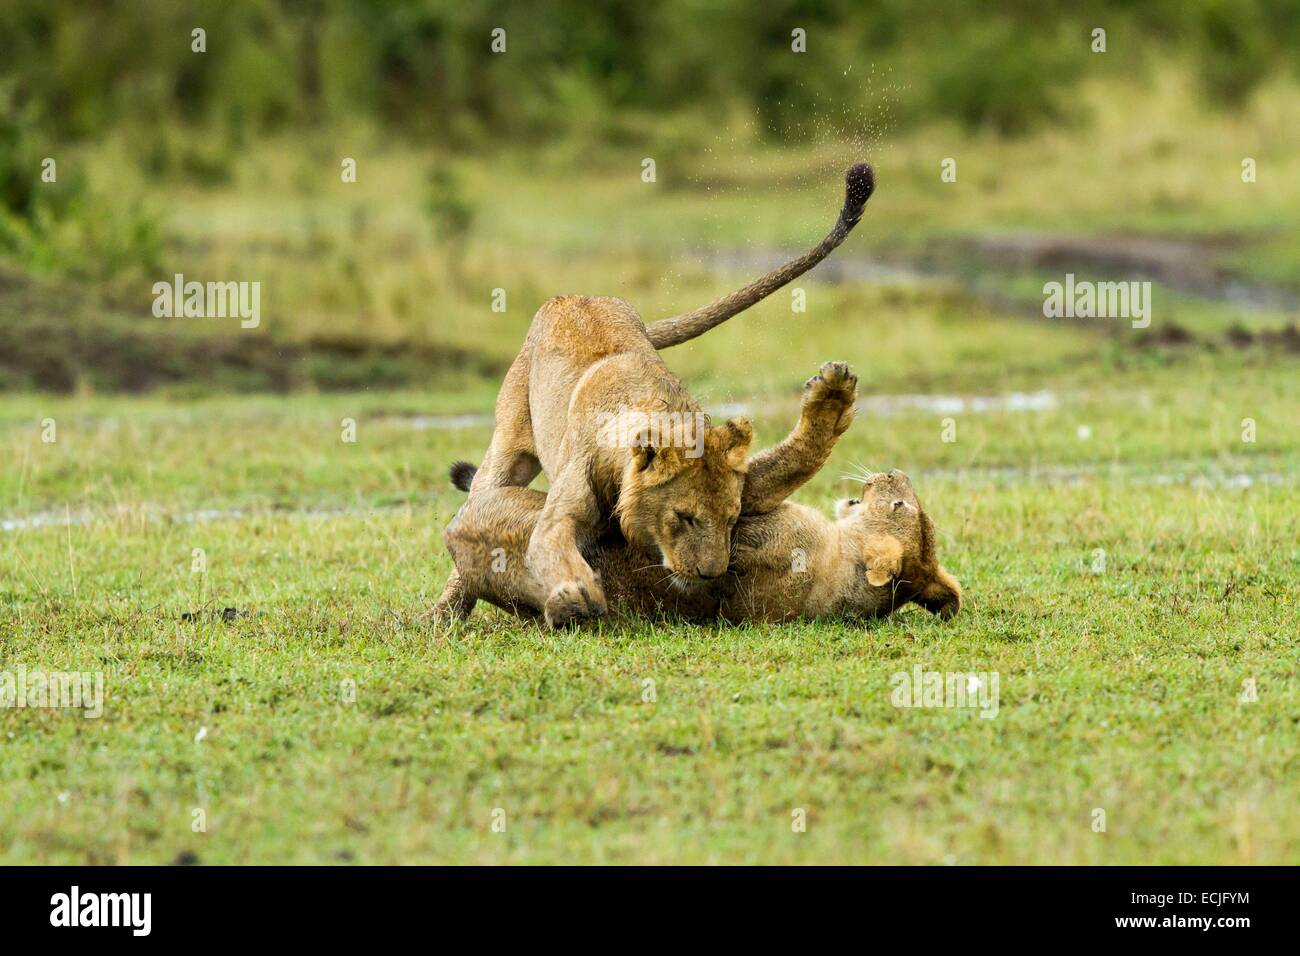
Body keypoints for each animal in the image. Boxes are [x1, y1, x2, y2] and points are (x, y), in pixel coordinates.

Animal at [432, 163, 876, 627]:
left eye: (731, 518)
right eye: (683, 517)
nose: (713, 574)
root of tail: (579, 295)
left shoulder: (747, 486)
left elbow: (799, 459)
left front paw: (833, 395)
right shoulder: (563, 505)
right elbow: (550, 545)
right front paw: (576, 595)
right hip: (508, 444)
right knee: (479, 498)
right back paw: (442, 614)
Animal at [440, 362, 962, 625]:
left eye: (898, 504)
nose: (892, 472)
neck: (839, 562)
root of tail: (460, 535)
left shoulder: (747, 525)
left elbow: (796, 459)